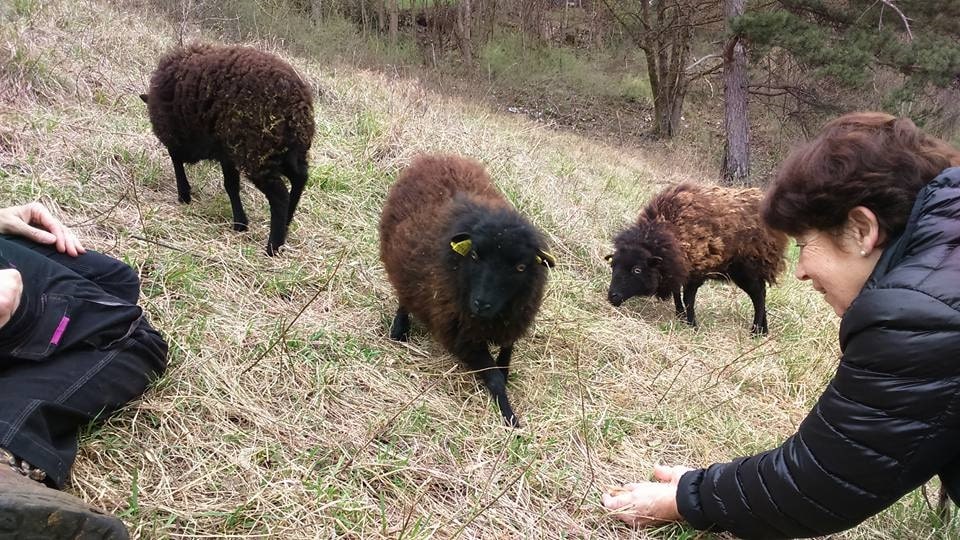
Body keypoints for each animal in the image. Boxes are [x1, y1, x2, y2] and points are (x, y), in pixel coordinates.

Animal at [140, 43, 316, 256]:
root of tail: (295, 104)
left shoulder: (178, 135)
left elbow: (183, 164)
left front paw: (185, 195)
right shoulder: (225, 153)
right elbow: (230, 185)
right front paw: (240, 223)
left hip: (257, 153)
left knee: (280, 195)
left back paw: (273, 247)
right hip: (289, 151)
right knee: (300, 178)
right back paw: (287, 223)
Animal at [376, 154, 556, 428]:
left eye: (521, 267)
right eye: (474, 255)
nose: (481, 303)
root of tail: (436, 156)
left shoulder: (514, 320)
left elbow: (506, 355)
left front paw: (505, 375)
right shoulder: (461, 336)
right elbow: (494, 378)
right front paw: (510, 418)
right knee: (403, 293)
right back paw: (399, 330)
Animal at [608, 182, 788, 334]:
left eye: (637, 270)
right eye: (613, 266)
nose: (612, 297)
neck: (668, 229)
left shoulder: (696, 269)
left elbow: (688, 298)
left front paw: (692, 324)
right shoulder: (680, 266)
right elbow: (676, 292)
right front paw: (680, 315)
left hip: (749, 268)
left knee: (758, 296)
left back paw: (756, 331)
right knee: (761, 293)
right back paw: (764, 330)